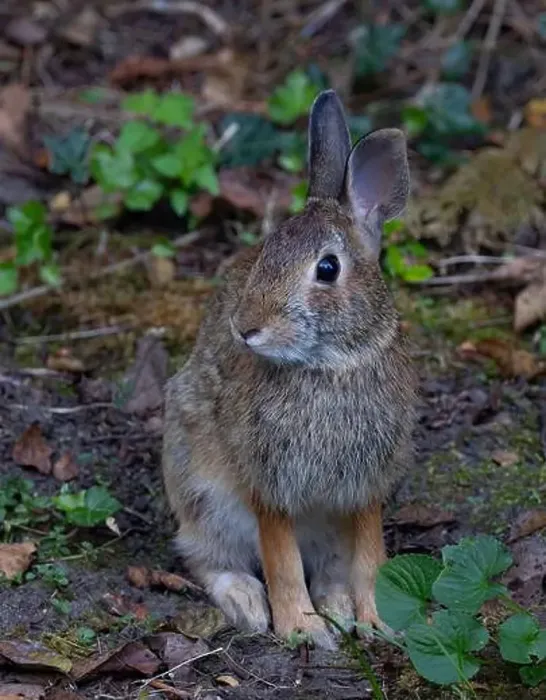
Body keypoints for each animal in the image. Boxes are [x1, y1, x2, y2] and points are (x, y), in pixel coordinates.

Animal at [162, 89, 417, 650]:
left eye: (327, 268)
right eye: (267, 249)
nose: (245, 328)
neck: (329, 365)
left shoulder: (365, 484)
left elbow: (372, 556)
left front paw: (379, 621)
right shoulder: (268, 482)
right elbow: (281, 560)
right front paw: (300, 629)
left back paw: (339, 608)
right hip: (200, 491)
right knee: (207, 556)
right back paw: (248, 604)